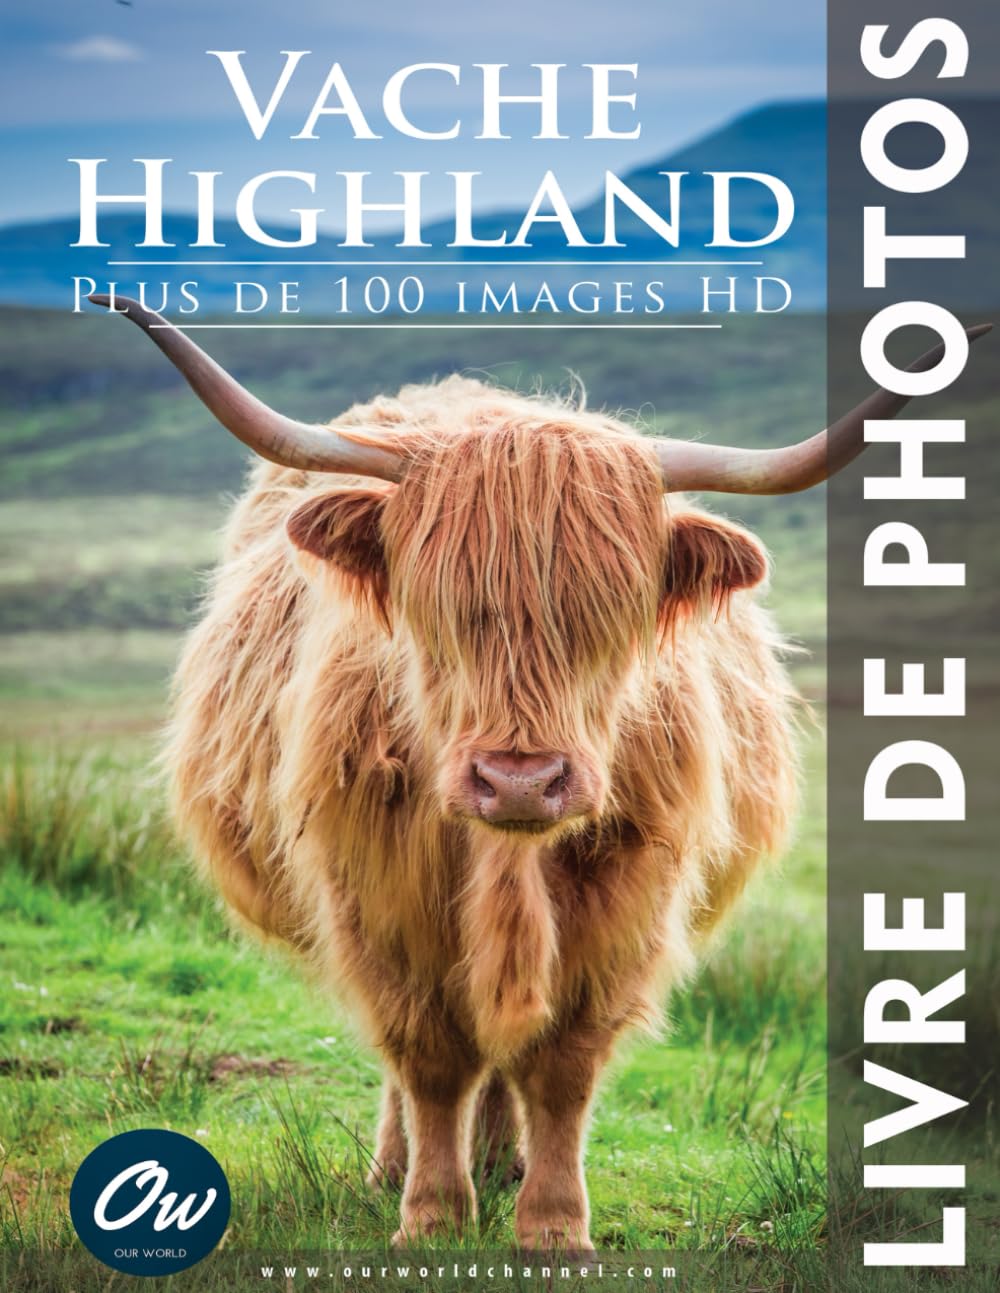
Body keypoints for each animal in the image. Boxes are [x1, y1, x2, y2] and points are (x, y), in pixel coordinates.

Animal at [91, 295, 987, 1252]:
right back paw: (399, 1166)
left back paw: (500, 1161)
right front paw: (431, 1213)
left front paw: (554, 1225)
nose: (519, 780)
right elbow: (428, 1056)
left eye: (612, 615)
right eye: (438, 609)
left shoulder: (625, 904)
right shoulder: (376, 896)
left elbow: (560, 1065)